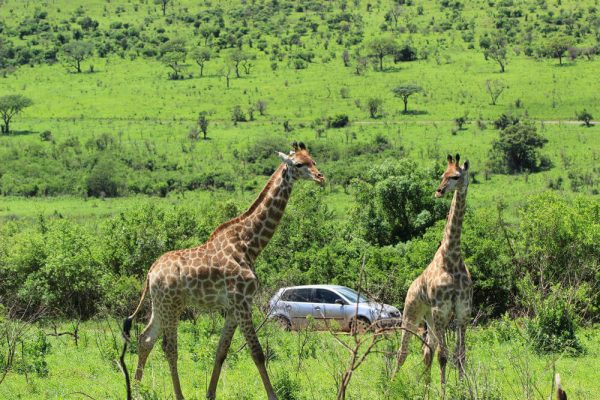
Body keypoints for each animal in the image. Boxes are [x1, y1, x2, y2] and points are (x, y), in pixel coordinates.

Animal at [120, 141, 326, 400]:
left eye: (313, 161)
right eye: (299, 164)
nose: (321, 178)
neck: (250, 244)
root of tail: (150, 272)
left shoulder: (233, 307)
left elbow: (221, 350)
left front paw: (210, 393)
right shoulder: (241, 302)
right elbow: (257, 352)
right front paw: (273, 395)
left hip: (160, 305)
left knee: (145, 339)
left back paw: (137, 391)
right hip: (171, 305)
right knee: (169, 347)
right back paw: (177, 395)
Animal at [394, 154, 474, 390]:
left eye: (456, 176)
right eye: (442, 175)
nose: (439, 191)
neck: (452, 258)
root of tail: (410, 286)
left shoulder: (462, 310)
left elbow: (460, 355)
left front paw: (462, 389)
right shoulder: (441, 309)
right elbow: (443, 356)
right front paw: (444, 391)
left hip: (430, 318)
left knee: (426, 350)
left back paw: (426, 389)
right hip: (412, 312)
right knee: (403, 352)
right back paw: (391, 383)